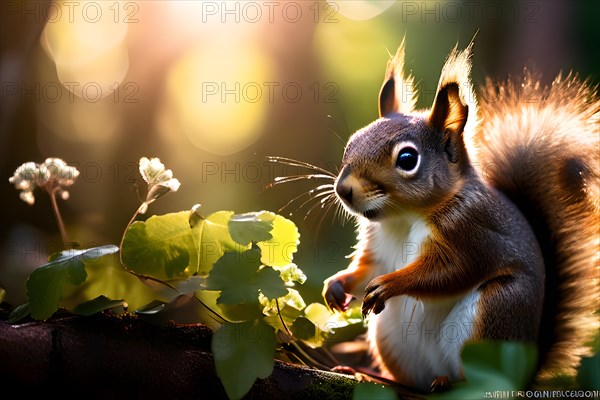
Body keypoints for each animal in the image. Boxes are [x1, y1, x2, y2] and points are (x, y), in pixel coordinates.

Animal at [324, 39, 600, 390]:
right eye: (352, 142)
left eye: (407, 158)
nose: (343, 189)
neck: (403, 218)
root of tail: (525, 374)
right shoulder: (377, 246)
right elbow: (367, 270)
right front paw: (337, 285)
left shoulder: (474, 232)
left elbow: (450, 272)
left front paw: (391, 283)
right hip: (389, 336)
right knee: (412, 383)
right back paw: (371, 375)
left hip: (495, 311)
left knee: (480, 380)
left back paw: (452, 382)